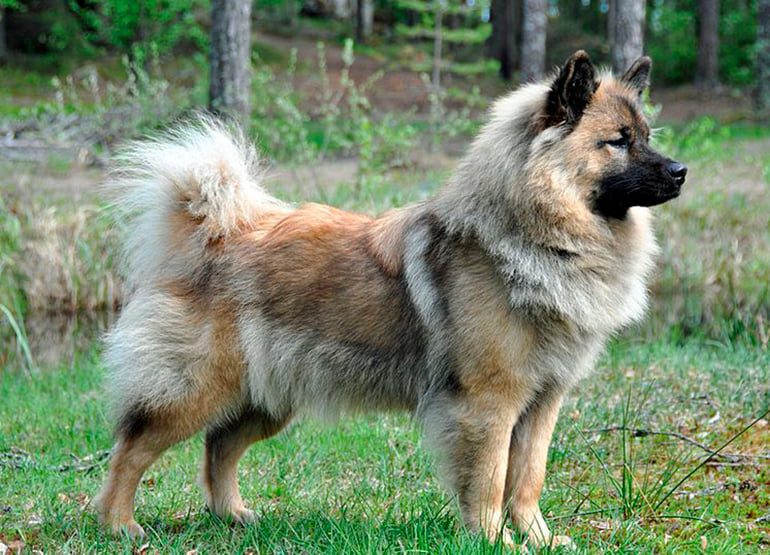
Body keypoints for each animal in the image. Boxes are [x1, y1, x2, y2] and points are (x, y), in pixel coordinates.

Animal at [94, 51, 684, 548]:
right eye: (618, 141)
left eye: (647, 136)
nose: (681, 172)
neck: (540, 236)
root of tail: (214, 232)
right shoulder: (490, 402)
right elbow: (490, 480)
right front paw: (492, 539)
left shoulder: (542, 401)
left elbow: (527, 478)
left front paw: (537, 539)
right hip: (195, 390)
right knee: (131, 449)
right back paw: (119, 524)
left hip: (266, 397)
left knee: (218, 446)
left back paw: (232, 515)